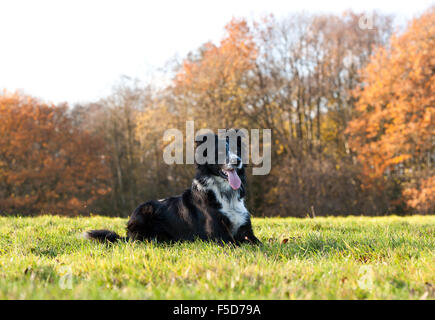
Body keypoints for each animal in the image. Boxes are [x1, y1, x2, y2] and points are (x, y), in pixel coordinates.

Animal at [85, 130, 262, 245]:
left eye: (237, 150)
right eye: (219, 152)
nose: (237, 161)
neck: (225, 195)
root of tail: (127, 234)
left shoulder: (246, 230)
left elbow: (260, 244)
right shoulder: (219, 235)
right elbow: (238, 245)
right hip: (145, 209)